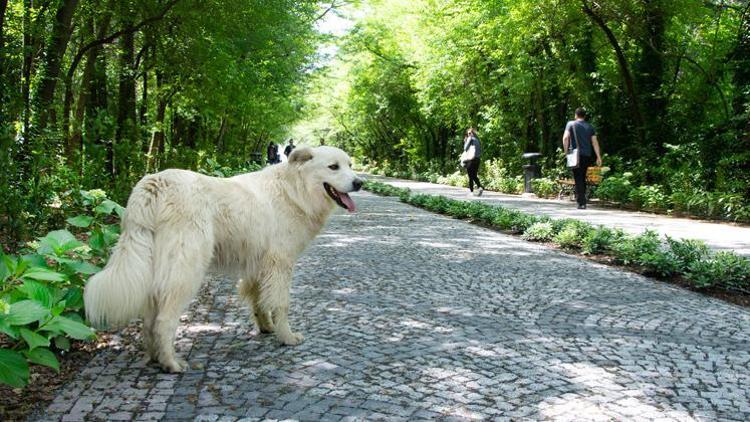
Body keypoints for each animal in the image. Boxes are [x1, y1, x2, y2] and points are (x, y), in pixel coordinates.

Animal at [83, 146, 362, 372]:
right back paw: (171, 363)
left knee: (149, 318)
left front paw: (266, 328)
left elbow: (259, 301)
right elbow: (281, 304)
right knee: (164, 320)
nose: (359, 182)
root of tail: (155, 182)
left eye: (350, 164)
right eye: (333, 167)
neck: (295, 190)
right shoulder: (280, 263)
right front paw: (287, 337)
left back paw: (155, 357)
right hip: (187, 270)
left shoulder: (258, 266)